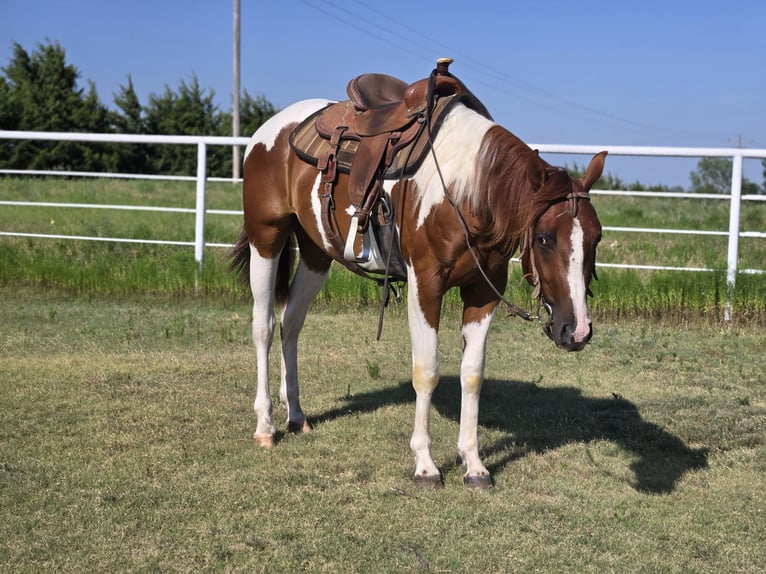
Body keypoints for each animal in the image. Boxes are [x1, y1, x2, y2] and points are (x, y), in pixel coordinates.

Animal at [231, 60, 608, 488]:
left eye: (596, 237)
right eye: (543, 239)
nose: (577, 331)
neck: (467, 191)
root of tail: (271, 130)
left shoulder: (484, 290)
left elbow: (472, 374)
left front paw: (474, 464)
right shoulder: (424, 285)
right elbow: (426, 371)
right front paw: (426, 465)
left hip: (316, 253)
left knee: (291, 324)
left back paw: (296, 416)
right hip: (266, 237)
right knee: (263, 326)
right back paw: (265, 426)